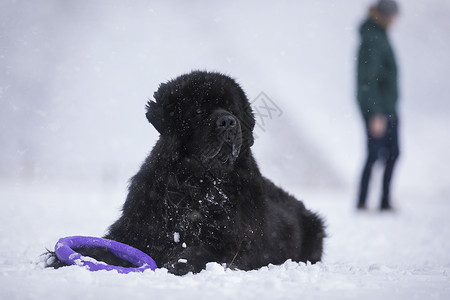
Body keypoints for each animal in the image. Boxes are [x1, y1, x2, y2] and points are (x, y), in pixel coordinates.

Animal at [47, 71, 326, 276]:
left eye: (232, 110)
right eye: (199, 111)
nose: (227, 122)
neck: (199, 185)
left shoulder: (235, 243)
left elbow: (207, 251)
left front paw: (181, 262)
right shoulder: (135, 229)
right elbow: (106, 247)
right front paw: (65, 259)